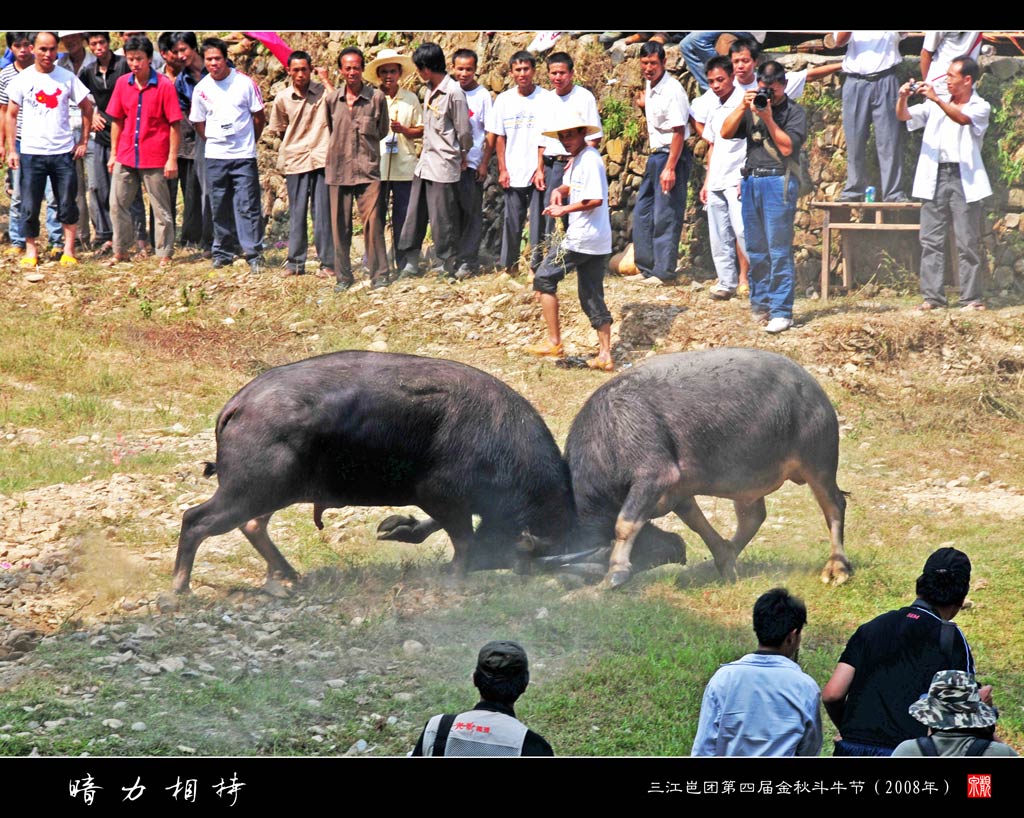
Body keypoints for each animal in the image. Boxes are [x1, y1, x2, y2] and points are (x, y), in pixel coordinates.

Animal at [171, 348, 581, 593]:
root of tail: (238, 404)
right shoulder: (438, 494)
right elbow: (462, 538)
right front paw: (454, 576)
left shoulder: (446, 504)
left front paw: (396, 530)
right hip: (252, 488)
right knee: (196, 519)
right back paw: (177, 590)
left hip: (268, 491)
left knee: (252, 524)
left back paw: (288, 575)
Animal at [565, 346, 851, 589]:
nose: (678, 549)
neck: (606, 434)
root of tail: (813, 387)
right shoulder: (677, 492)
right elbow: (696, 522)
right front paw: (723, 557)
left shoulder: (656, 475)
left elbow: (624, 522)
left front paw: (615, 573)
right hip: (747, 479)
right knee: (753, 517)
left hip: (819, 461)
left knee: (834, 505)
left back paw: (837, 569)